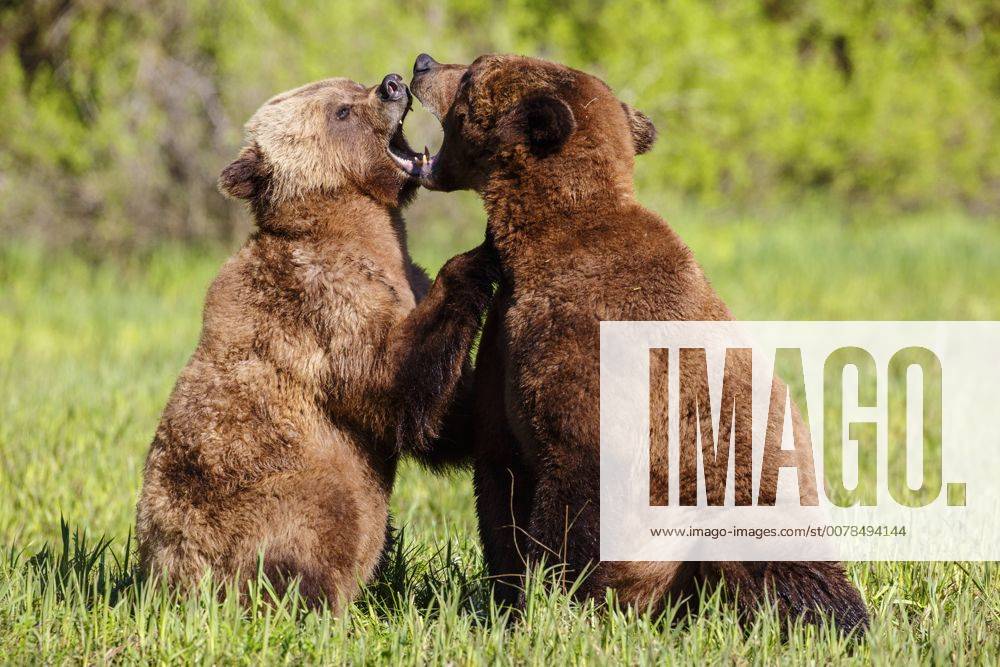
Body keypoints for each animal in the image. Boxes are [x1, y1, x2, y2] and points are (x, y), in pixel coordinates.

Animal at [139, 75, 498, 612]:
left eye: (353, 84)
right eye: (341, 111)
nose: (393, 84)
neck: (356, 231)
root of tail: (164, 585)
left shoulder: (399, 282)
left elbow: (443, 417)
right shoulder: (325, 307)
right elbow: (391, 385)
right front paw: (483, 252)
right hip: (267, 509)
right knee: (311, 541)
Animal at [398, 54, 868, 636]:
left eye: (470, 74)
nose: (423, 64)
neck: (541, 243)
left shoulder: (596, 356)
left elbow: (578, 490)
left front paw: (555, 600)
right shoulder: (503, 355)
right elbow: (488, 471)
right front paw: (508, 600)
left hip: (739, 503)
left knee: (783, 568)